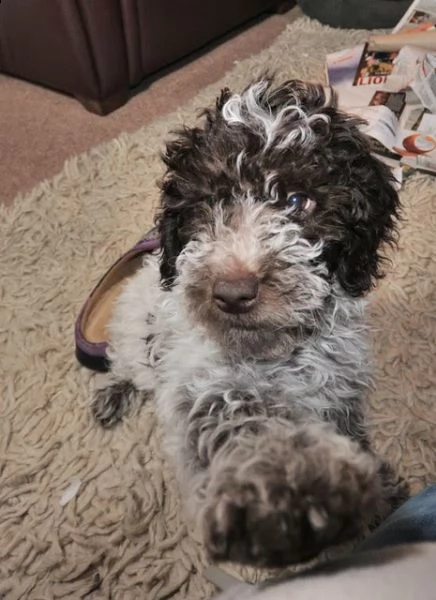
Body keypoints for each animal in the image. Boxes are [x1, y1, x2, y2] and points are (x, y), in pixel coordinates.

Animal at [92, 77, 406, 564]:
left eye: (298, 201)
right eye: (207, 203)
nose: (232, 294)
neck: (282, 349)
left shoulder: (338, 386)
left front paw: (375, 495)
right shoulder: (207, 384)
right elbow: (243, 424)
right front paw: (289, 485)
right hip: (132, 330)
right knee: (126, 365)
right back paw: (114, 392)